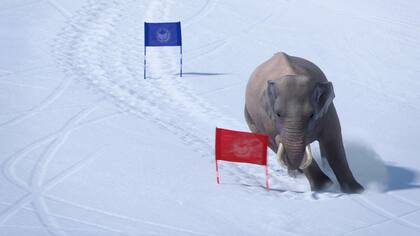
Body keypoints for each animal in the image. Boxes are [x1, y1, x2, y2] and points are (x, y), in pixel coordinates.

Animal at [244, 52, 362, 194]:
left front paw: (357, 191)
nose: (279, 137)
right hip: (251, 117)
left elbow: (333, 141)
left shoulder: (327, 112)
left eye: (311, 115)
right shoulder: (267, 119)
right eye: (278, 114)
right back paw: (297, 174)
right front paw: (325, 186)